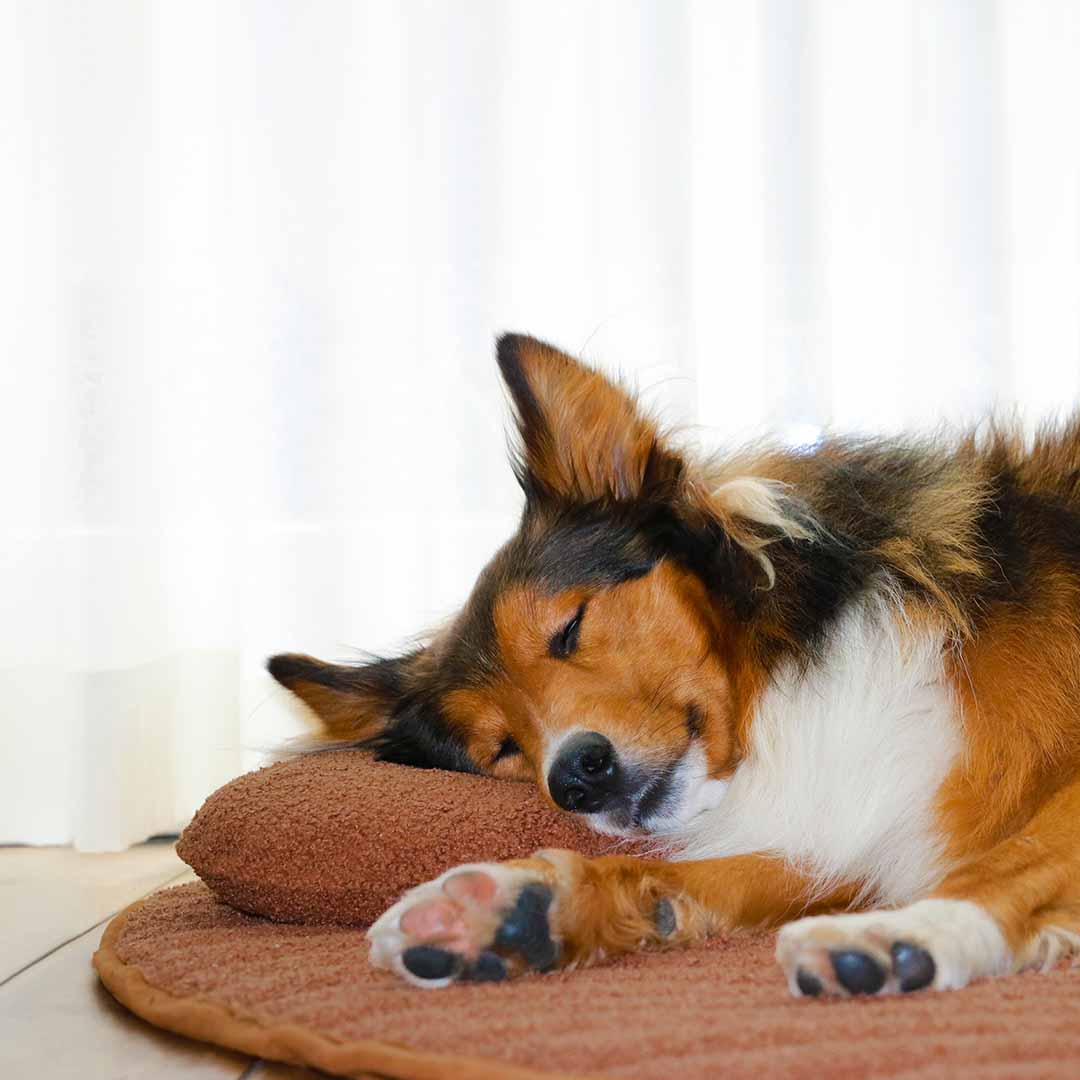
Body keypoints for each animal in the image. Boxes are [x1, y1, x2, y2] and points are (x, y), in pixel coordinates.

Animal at [267, 334, 1080, 993]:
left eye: (569, 628)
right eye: (500, 747)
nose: (575, 778)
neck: (789, 671)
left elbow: (1014, 859)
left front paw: (912, 933)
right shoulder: (847, 829)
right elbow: (693, 875)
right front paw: (518, 910)